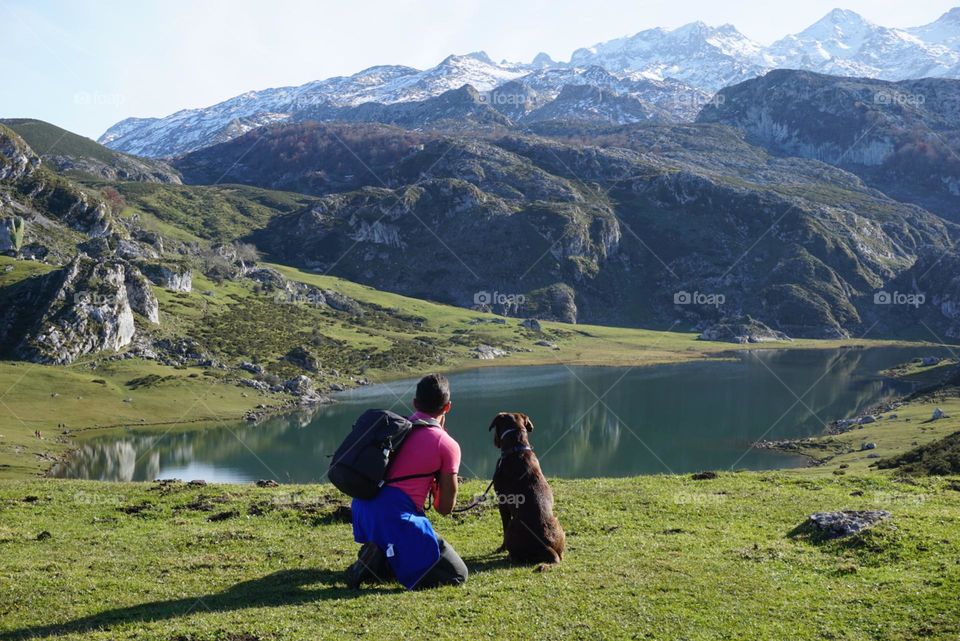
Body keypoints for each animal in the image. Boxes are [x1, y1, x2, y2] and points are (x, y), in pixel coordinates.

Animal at [488, 412, 564, 564]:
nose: (494, 441)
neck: (517, 447)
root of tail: (546, 547)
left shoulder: (502, 502)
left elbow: (504, 525)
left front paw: (501, 548)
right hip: (558, 524)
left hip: (513, 526)